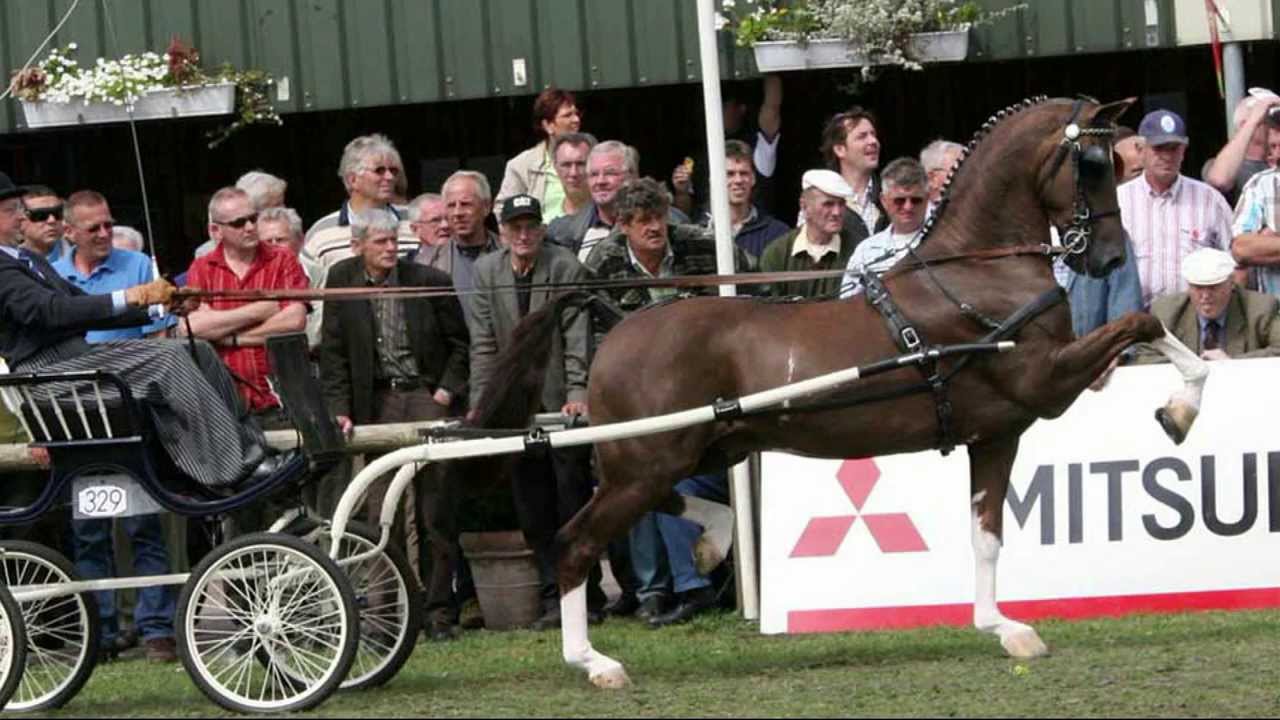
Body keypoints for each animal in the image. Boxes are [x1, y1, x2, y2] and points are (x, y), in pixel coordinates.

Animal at [474, 96, 1210, 689]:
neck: (976, 271)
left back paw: (711, 542)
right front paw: (1179, 411)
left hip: (698, 447)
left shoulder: (997, 431)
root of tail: (617, 319)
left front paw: (1004, 629)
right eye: (1094, 163)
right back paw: (595, 663)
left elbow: (986, 536)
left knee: (664, 509)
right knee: (576, 541)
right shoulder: (1045, 380)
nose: (1109, 258)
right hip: (649, 458)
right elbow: (1142, 324)